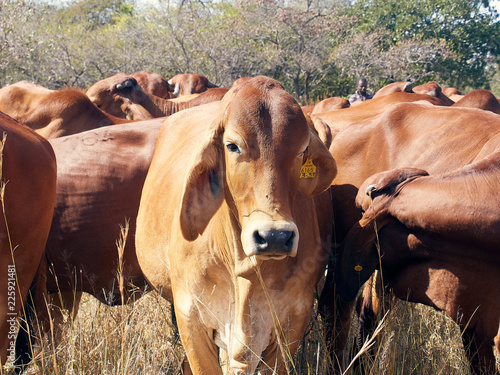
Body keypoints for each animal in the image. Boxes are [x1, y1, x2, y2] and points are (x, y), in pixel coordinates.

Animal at [134, 77, 336, 375]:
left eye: (302, 151)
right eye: (232, 146)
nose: (274, 236)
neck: (246, 271)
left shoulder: (293, 321)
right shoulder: (190, 317)